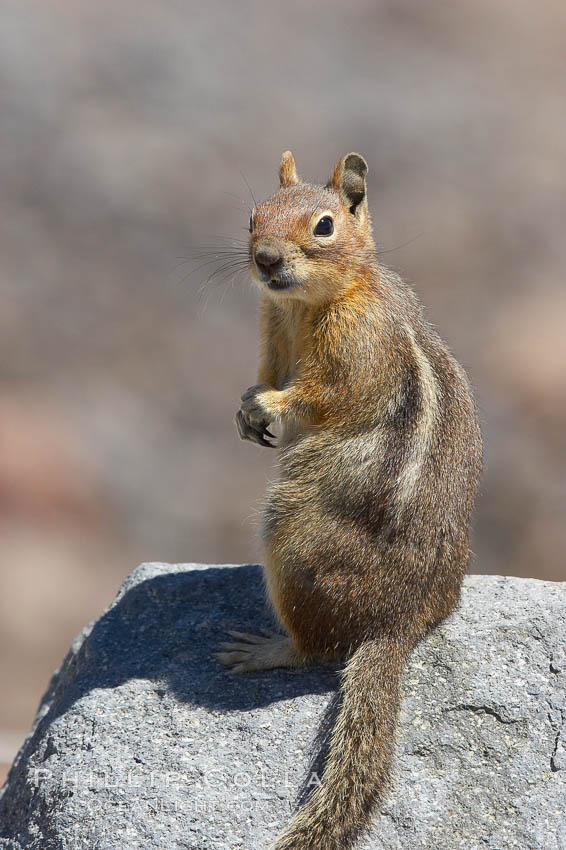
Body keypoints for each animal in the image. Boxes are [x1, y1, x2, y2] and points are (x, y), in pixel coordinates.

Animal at [216, 152, 484, 848]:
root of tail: (398, 621)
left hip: (292, 534)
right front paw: (245, 408)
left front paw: (269, 405)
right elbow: (264, 376)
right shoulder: (271, 334)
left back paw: (264, 649)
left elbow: (319, 397)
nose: (265, 260)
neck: (307, 306)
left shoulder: (352, 352)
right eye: (252, 217)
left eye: (325, 225)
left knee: (319, 647)